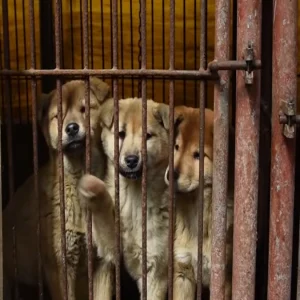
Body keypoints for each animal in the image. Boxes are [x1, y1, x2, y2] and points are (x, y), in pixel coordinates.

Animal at [77, 98, 170, 300]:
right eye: (121, 134)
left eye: (147, 136)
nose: (132, 160)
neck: (134, 199)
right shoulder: (110, 249)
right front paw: (92, 187)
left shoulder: (155, 271)